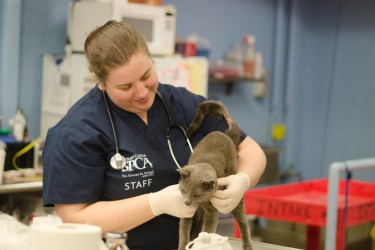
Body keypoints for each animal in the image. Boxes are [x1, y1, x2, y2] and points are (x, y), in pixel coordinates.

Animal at [178, 101, 254, 250]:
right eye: (183, 190)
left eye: (196, 195)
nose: (187, 202)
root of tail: (225, 134)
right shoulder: (187, 213)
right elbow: (184, 231)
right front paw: (184, 245)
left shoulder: (212, 211)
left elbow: (208, 229)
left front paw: (206, 242)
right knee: (199, 222)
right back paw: (195, 238)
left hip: (236, 201)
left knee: (243, 221)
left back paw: (247, 244)